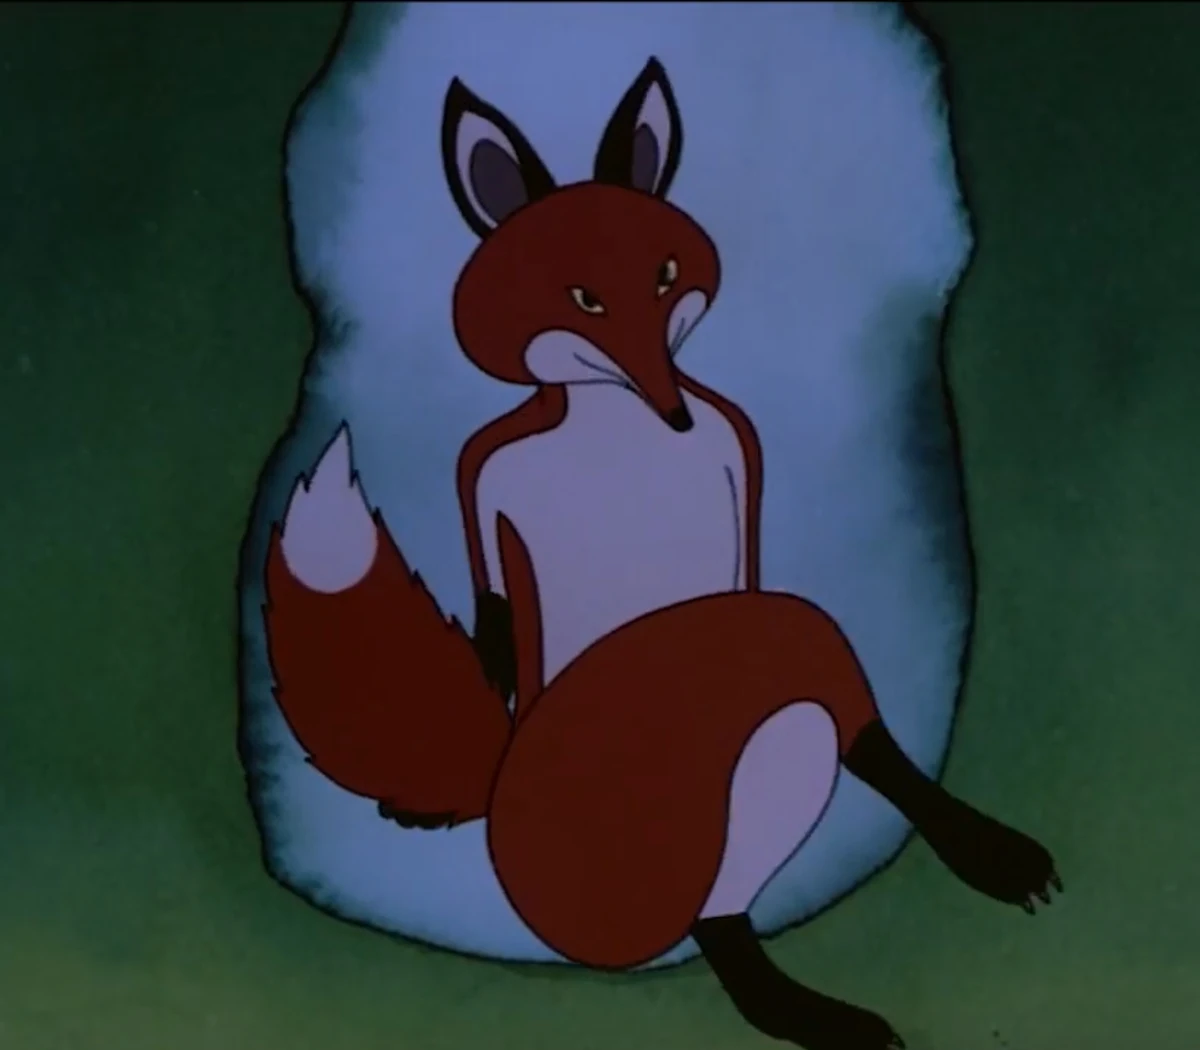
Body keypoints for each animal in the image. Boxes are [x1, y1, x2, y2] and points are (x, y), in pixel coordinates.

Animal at [263, 57, 1062, 1050]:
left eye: (667, 274)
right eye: (582, 299)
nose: (671, 411)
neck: (617, 432)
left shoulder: (739, 473)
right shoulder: (481, 490)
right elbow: (496, 629)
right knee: (716, 913)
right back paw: (797, 1007)